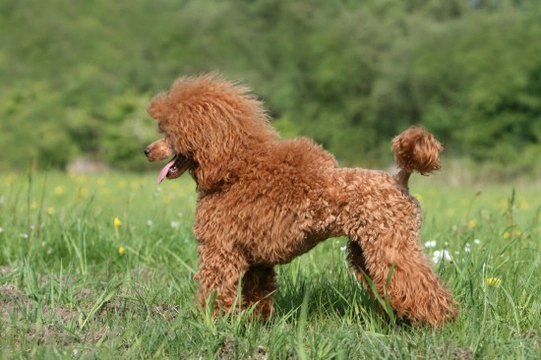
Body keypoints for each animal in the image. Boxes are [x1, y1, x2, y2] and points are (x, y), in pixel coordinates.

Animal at [142, 74, 456, 326]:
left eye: (169, 133)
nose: (146, 150)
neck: (232, 170)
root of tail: (399, 178)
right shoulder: (255, 260)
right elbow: (256, 295)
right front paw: (254, 325)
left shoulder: (220, 250)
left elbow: (215, 289)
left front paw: (209, 323)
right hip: (367, 250)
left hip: (390, 244)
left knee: (420, 286)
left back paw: (438, 323)